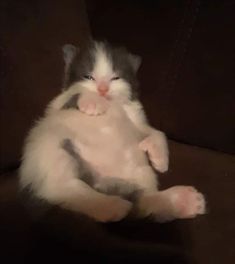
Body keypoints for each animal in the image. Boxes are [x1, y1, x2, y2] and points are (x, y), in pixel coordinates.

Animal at [19, 40, 205, 223]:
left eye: (115, 78)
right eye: (89, 77)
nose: (102, 90)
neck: (111, 104)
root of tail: (101, 181)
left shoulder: (135, 119)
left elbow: (156, 133)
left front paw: (160, 159)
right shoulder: (58, 106)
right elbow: (77, 92)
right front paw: (92, 102)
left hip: (141, 174)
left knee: (142, 202)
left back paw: (180, 202)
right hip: (54, 151)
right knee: (67, 189)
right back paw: (110, 206)